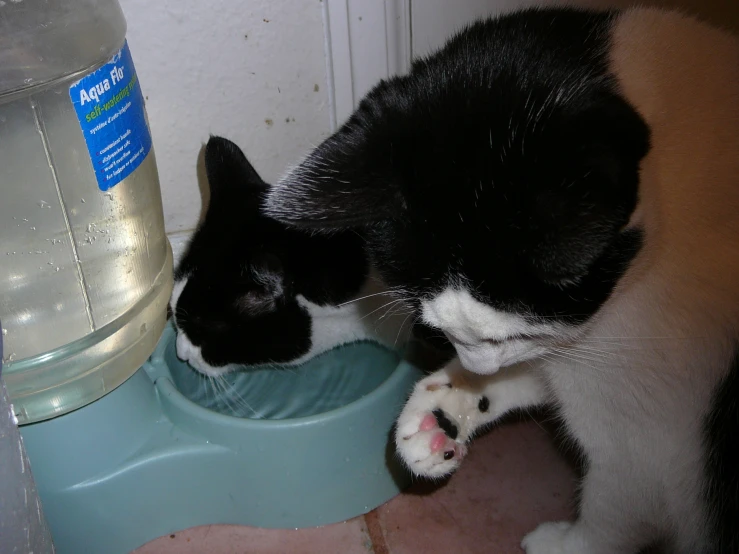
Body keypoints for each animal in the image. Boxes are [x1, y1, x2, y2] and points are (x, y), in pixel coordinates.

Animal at [264, 5, 739, 552]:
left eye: (508, 334)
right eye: (437, 329)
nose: (477, 367)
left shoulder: (639, 435)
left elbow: (614, 511)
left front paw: (566, 544)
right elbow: (537, 376)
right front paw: (441, 411)